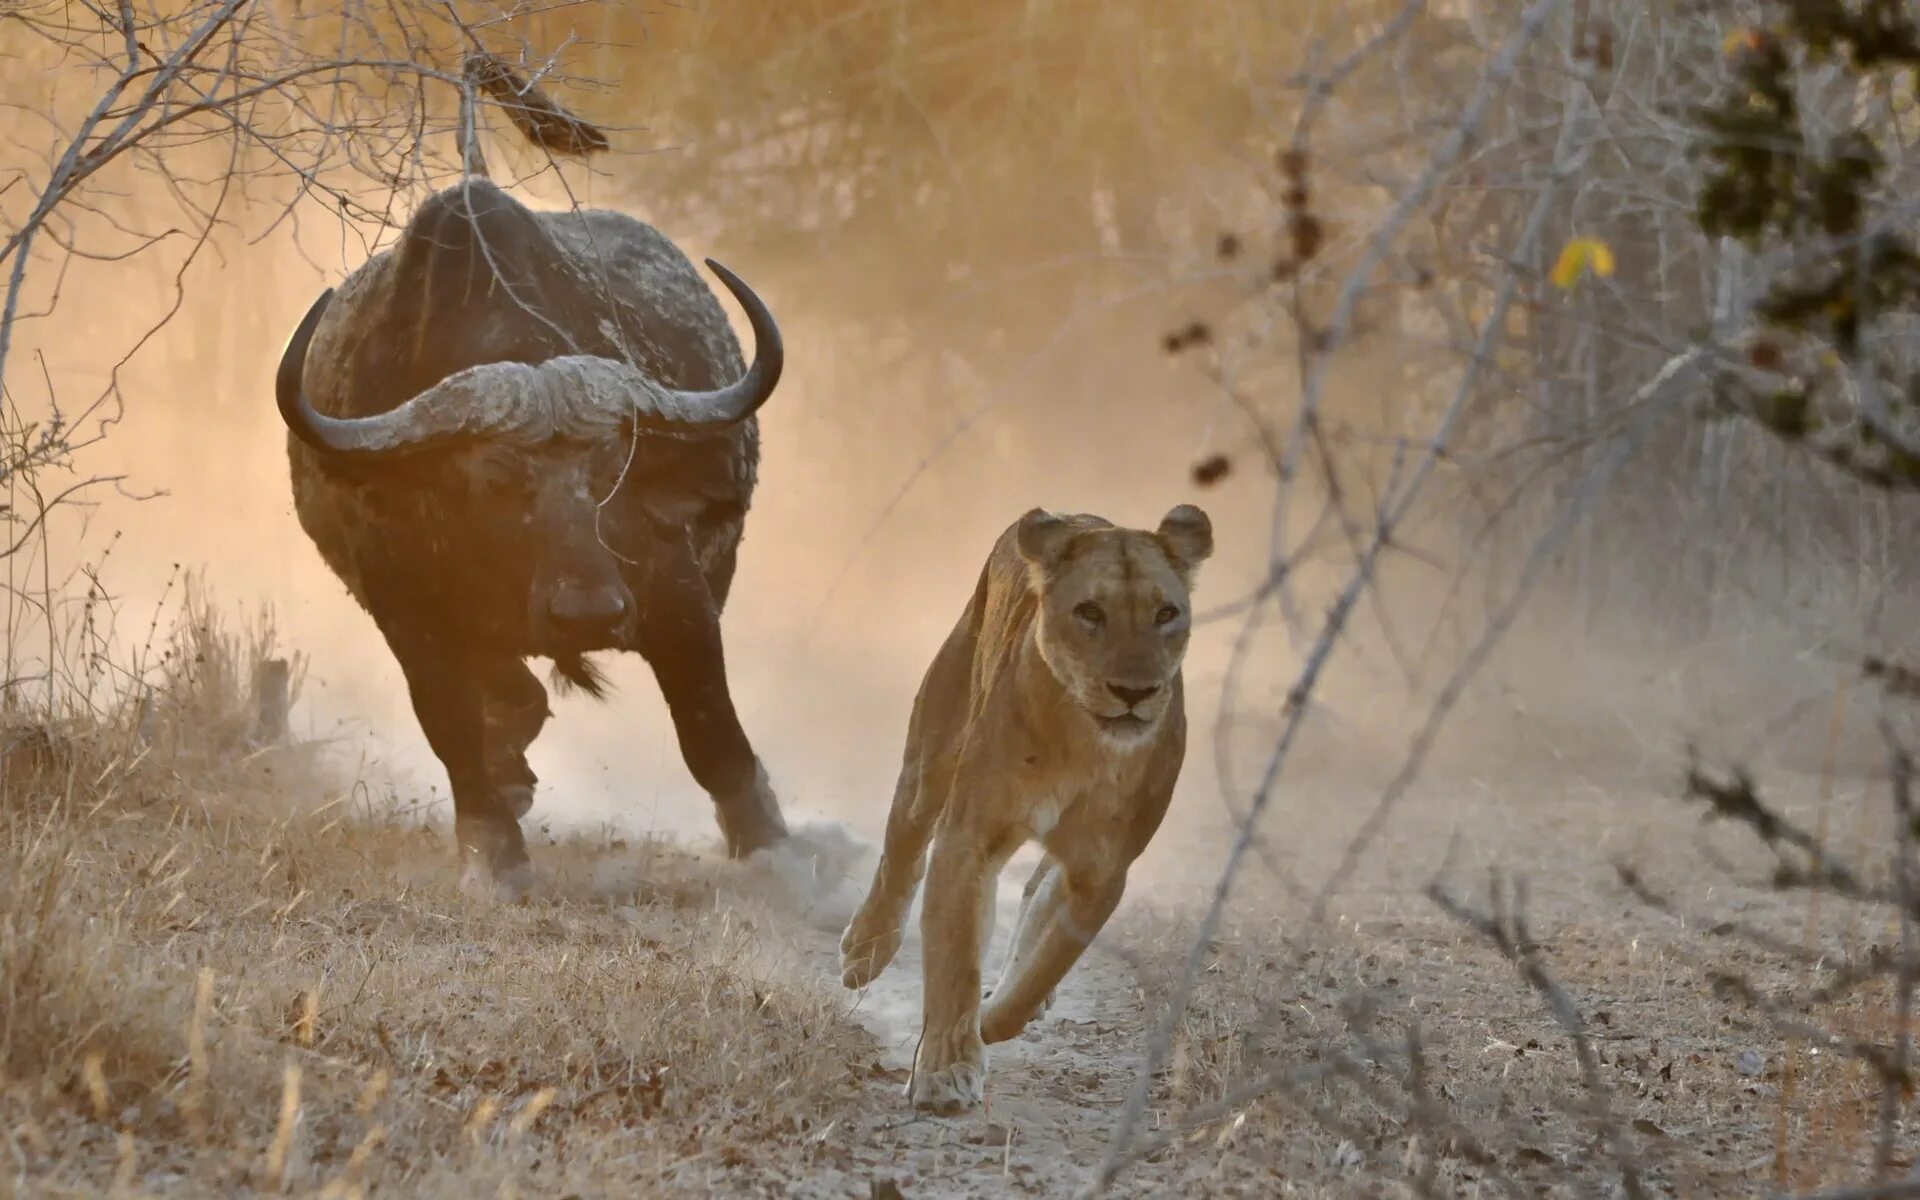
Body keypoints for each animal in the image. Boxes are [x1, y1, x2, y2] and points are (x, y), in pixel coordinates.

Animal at [270, 175, 787, 890]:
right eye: (495, 477)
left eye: (612, 470)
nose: (589, 613)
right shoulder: (405, 609)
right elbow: (453, 724)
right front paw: (493, 851)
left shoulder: (675, 590)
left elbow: (709, 730)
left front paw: (771, 844)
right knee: (513, 696)